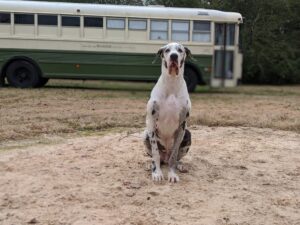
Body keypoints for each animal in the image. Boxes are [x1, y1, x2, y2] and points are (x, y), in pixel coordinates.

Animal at [144, 42, 191, 183]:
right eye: (167, 50)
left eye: (180, 50)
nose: (174, 56)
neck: (171, 83)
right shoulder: (151, 122)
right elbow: (155, 154)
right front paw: (157, 173)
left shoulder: (182, 126)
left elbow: (174, 155)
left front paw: (172, 174)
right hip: (145, 134)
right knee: (156, 157)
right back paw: (149, 164)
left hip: (188, 134)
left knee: (175, 158)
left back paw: (180, 165)